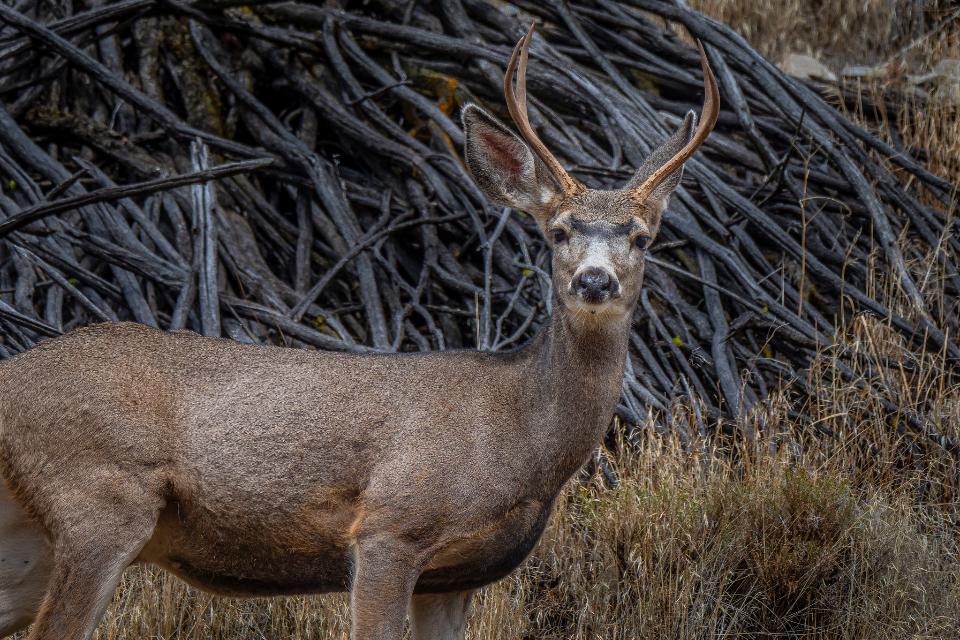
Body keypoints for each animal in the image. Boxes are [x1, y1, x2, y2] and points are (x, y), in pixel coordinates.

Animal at [0, 23, 716, 640]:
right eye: (558, 231)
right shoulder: (390, 526)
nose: (595, 281)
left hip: (33, 537)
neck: (520, 435)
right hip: (99, 497)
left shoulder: (456, 577)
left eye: (643, 237)